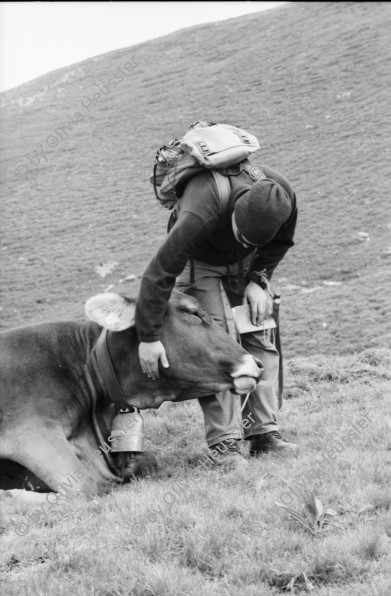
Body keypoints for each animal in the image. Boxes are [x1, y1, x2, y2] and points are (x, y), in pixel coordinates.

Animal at [1, 290, 264, 498]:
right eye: (192, 312)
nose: (258, 363)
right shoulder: (32, 431)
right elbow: (85, 487)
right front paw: (10, 495)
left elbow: (147, 461)